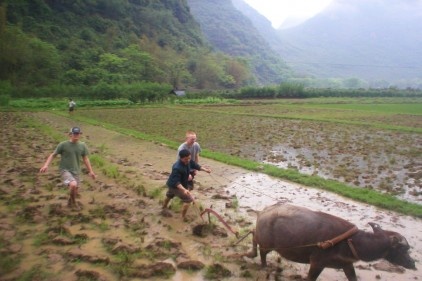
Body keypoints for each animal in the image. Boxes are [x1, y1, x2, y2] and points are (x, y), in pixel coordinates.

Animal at [247, 202, 416, 278]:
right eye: (403, 249)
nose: (412, 263)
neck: (351, 243)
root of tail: (263, 211)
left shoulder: (347, 264)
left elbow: (353, 278)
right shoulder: (317, 262)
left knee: (254, 236)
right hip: (267, 242)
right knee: (259, 245)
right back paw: (259, 261)